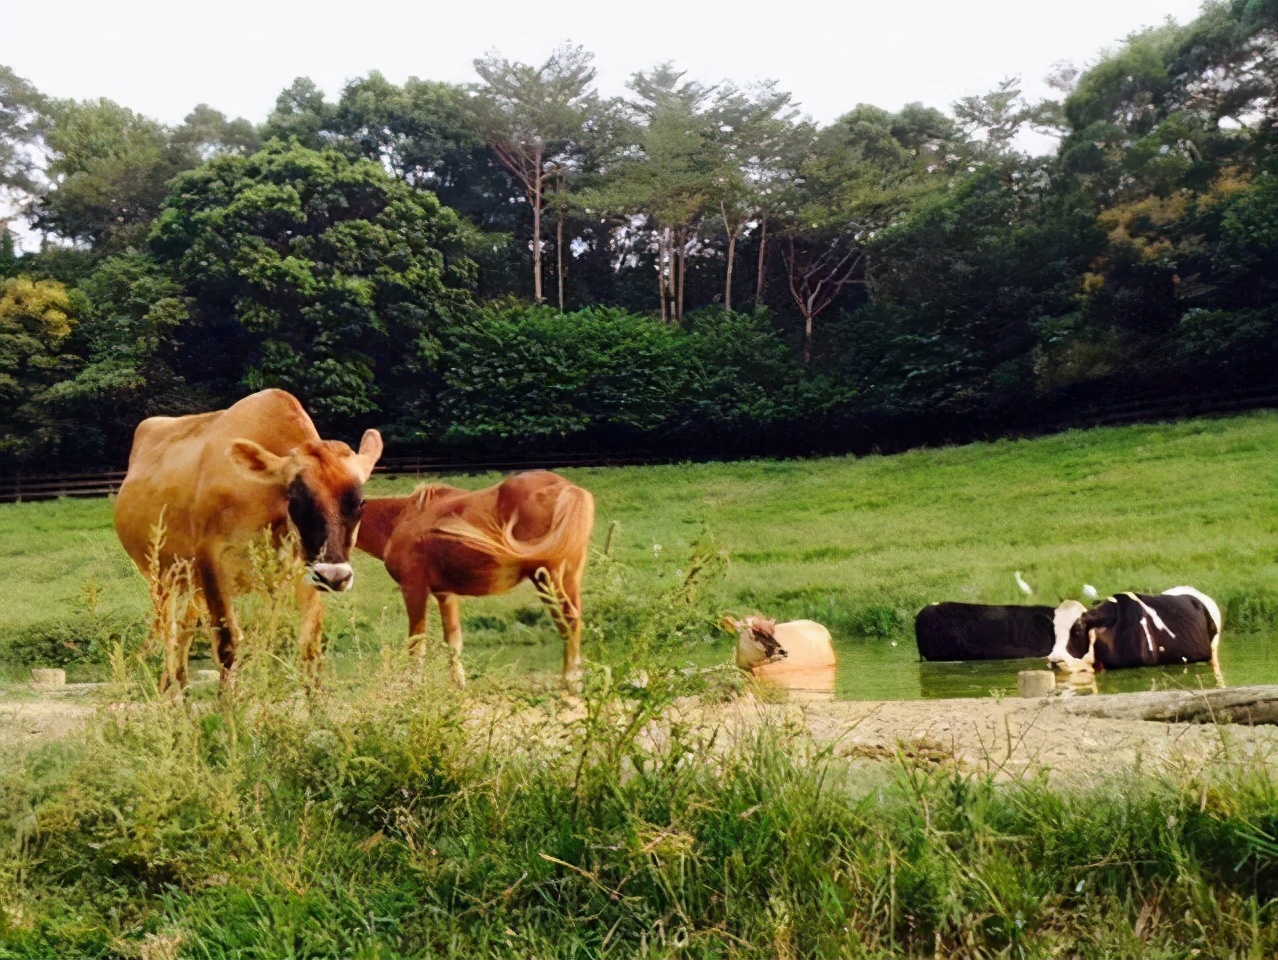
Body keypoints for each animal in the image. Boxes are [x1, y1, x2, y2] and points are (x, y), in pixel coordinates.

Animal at [112, 391, 380, 690]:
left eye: (360, 503)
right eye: (296, 498)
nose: (335, 576)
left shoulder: (305, 570)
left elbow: (310, 645)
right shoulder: (211, 562)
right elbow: (227, 643)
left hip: (189, 584)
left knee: (183, 633)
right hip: (159, 576)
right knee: (168, 635)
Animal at [357, 472, 595, 690]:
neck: (400, 519)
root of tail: (568, 489)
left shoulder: (413, 589)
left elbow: (416, 643)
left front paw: (412, 686)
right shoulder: (445, 594)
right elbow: (453, 642)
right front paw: (459, 685)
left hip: (547, 578)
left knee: (568, 619)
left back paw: (570, 682)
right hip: (568, 577)